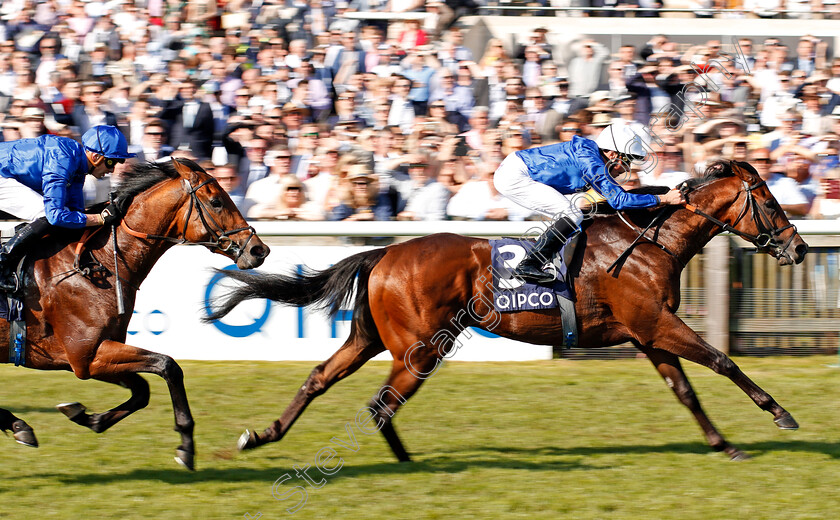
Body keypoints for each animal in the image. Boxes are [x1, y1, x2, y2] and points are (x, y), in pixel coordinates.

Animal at [0, 156, 270, 470]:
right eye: (216, 201)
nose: (259, 250)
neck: (98, 263)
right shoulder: (86, 356)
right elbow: (168, 365)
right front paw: (186, 445)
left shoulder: (94, 354)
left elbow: (142, 391)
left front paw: (86, 416)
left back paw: (19, 425)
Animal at [208, 160, 808, 462]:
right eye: (769, 201)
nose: (798, 248)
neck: (648, 241)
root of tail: (384, 253)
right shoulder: (657, 323)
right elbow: (722, 361)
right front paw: (781, 413)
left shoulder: (646, 334)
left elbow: (685, 390)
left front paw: (724, 444)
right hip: (420, 348)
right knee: (382, 403)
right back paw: (402, 459)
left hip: (371, 338)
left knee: (322, 379)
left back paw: (262, 435)